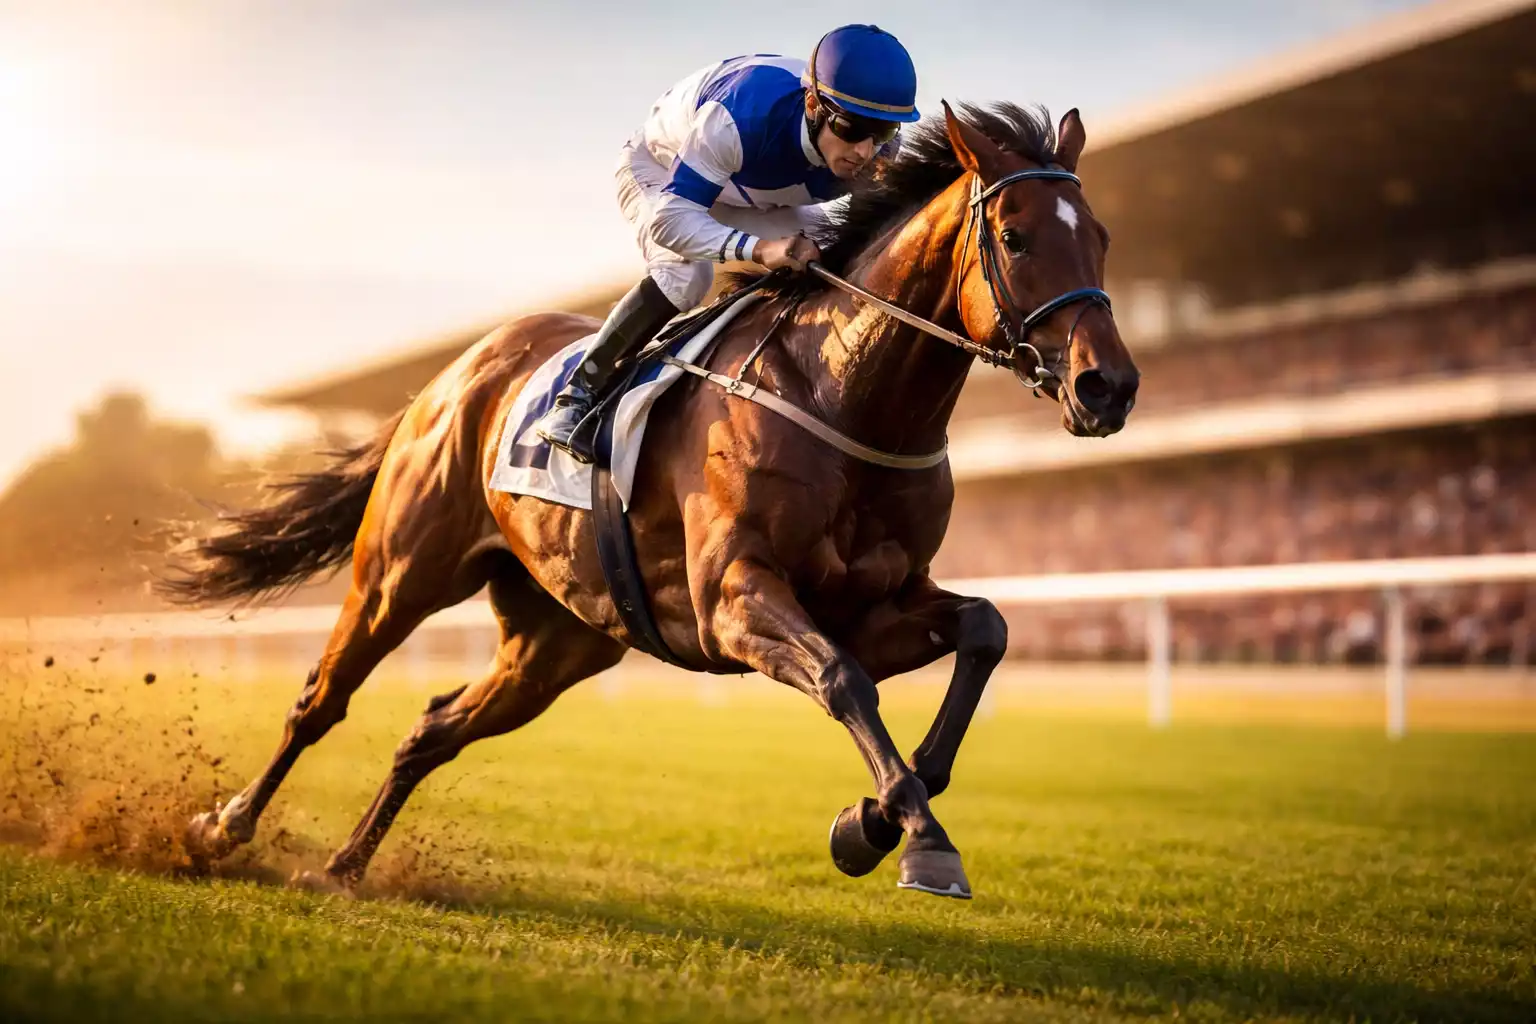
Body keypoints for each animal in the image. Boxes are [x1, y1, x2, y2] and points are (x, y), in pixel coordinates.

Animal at [164, 100, 1140, 899]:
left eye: (1099, 234)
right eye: (1015, 237)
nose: (1109, 386)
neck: (838, 393)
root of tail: (449, 376)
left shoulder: (874, 604)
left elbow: (984, 630)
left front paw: (867, 826)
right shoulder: (733, 601)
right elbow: (842, 680)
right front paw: (916, 840)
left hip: (559, 638)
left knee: (433, 728)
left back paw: (346, 864)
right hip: (402, 573)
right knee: (321, 699)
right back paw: (223, 827)